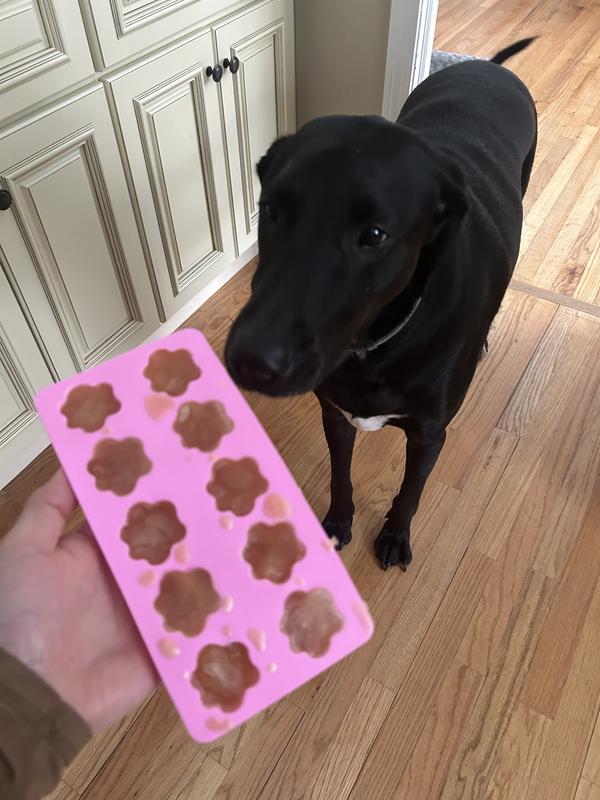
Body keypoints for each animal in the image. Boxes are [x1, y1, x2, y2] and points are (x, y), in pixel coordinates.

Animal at [225, 38, 537, 571]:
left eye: (373, 235)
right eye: (271, 210)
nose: (249, 361)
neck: (374, 347)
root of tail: (487, 68)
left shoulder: (429, 434)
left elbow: (410, 492)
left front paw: (394, 536)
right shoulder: (335, 415)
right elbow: (340, 476)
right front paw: (336, 524)